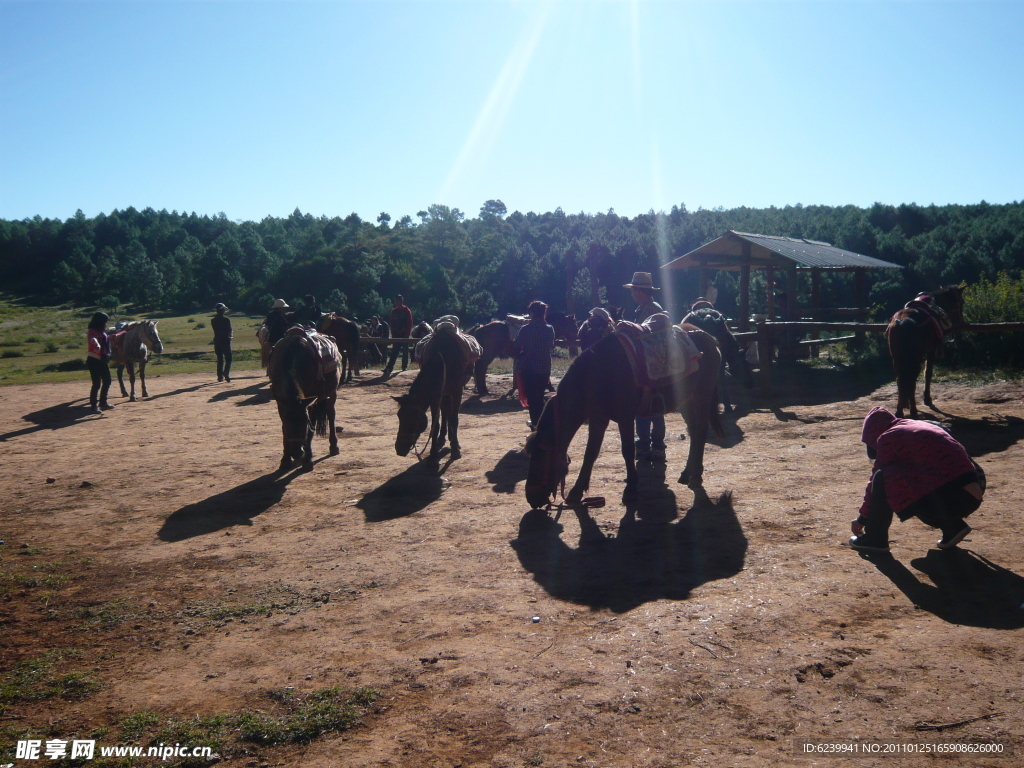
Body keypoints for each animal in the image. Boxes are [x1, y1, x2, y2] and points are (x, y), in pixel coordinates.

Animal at [268, 329, 339, 473]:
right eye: (288, 422)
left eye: (305, 422)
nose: (297, 453)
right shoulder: (281, 404)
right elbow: (283, 430)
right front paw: (285, 459)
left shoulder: (310, 403)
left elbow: (310, 431)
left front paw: (307, 460)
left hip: (331, 394)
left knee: (331, 415)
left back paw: (334, 446)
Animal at [393, 327, 477, 460]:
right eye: (399, 416)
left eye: (414, 418)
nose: (399, 449)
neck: (443, 356)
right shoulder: (436, 395)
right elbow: (435, 424)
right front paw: (433, 452)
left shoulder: (457, 391)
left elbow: (454, 419)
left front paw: (455, 449)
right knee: (445, 410)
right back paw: (442, 437)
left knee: (449, 413)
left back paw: (453, 440)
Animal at [524, 325, 724, 512]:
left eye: (540, 457)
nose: (531, 498)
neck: (598, 373)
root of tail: (710, 338)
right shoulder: (598, 418)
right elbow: (591, 453)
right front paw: (576, 492)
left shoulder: (626, 417)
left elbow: (627, 450)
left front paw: (631, 490)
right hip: (686, 401)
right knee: (694, 432)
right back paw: (687, 472)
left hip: (701, 396)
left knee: (701, 430)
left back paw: (696, 476)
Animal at [884, 286, 962, 421]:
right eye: (961, 303)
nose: (961, 324)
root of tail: (903, 322)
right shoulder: (931, 350)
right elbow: (928, 373)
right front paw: (927, 399)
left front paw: (905, 403)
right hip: (915, 358)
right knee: (912, 380)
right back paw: (913, 411)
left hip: (898, 358)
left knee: (901, 379)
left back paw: (900, 410)